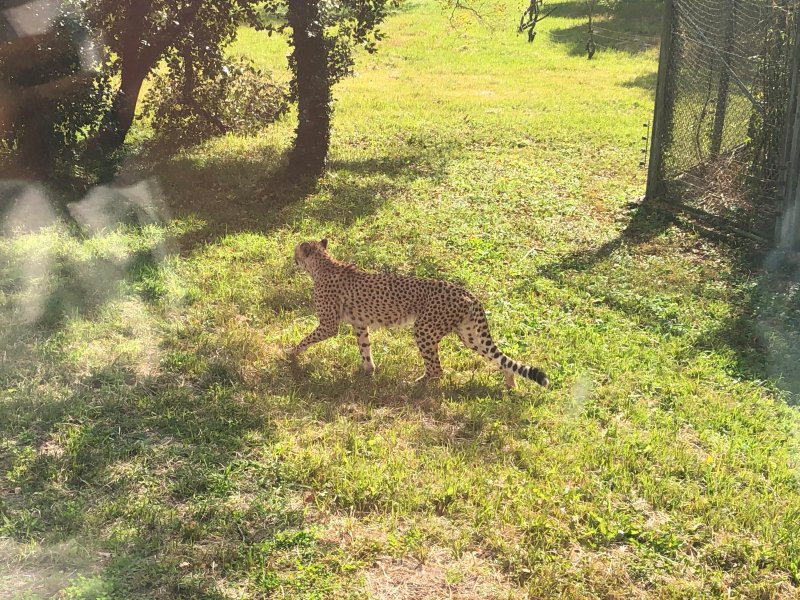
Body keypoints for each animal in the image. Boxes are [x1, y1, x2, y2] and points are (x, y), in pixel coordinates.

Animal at [290, 238, 549, 389]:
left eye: (296, 253)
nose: (293, 260)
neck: (323, 264)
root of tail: (466, 292)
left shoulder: (329, 325)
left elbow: (307, 338)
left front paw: (292, 353)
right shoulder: (360, 324)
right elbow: (365, 348)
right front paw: (368, 370)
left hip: (424, 329)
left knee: (437, 369)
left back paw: (414, 384)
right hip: (469, 335)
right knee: (499, 359)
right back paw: (510, 383)